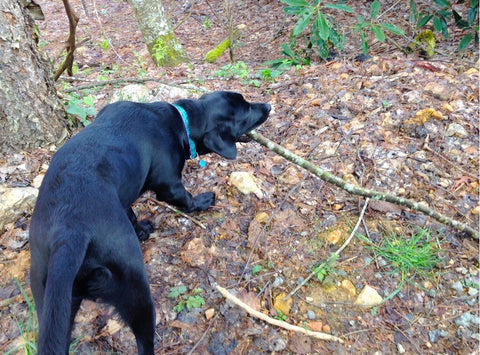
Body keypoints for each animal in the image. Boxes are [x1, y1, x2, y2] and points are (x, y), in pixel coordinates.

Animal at [30, 92, 270, 355]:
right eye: (246, 111)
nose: (268, 106)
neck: (181, 121)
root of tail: (68, 236)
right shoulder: (170, 185)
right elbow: (186, 199)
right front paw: (203, 201)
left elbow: (131, 213)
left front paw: (142, 229)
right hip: (137, 292)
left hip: (54, 309)